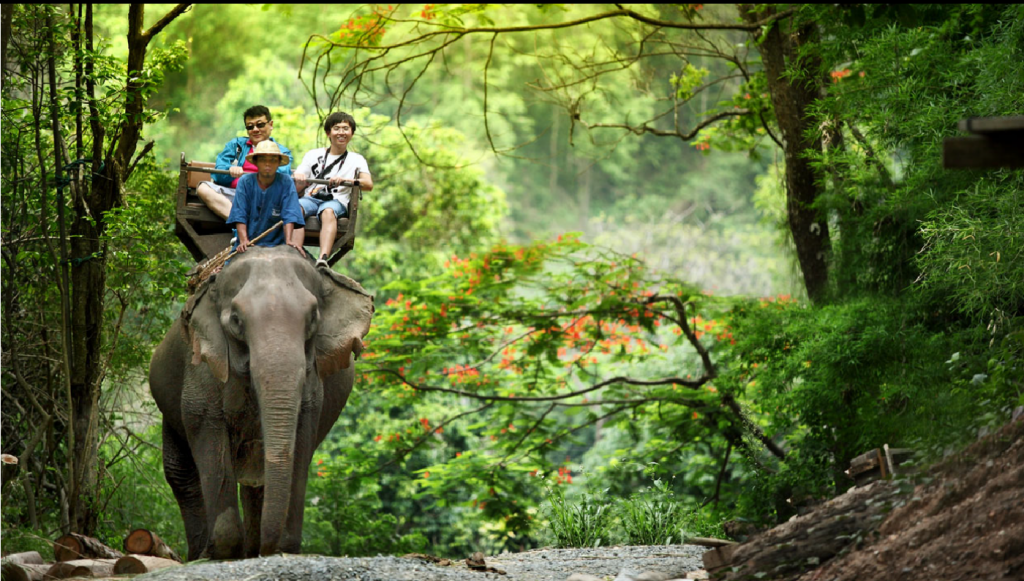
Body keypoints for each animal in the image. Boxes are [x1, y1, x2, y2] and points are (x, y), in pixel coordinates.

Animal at [149, 245, 374, 560]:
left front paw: (282, 547)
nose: (270, 548)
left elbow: (301, 439)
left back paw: (250, 550)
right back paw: (202, 553)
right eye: (236, 320)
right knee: (180, 471)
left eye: (313, 318)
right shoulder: (202, 365)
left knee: (255, 482)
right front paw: (222, 550)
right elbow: (208, 431)